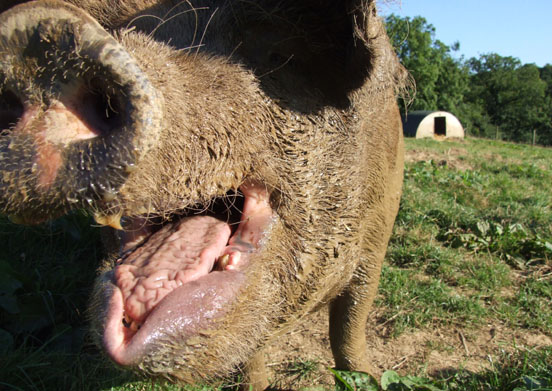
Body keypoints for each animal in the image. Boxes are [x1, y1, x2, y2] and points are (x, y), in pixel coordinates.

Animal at [0, 1, 406, 390]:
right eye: (127, 32)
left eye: (278, 55)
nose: (40, 32)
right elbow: (252, 350)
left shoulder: (378, 239)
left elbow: (350, 327)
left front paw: (368, 379)